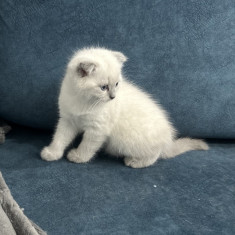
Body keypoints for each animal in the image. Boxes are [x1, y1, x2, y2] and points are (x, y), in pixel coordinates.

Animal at [40, 47, 207, 168]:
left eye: (116, 84)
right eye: (103, 87)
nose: (113, 97)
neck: (83, 101)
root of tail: (168, 140)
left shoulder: (97, 130)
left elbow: (87, 146)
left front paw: (78, 157)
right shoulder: (68, 120)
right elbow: (60, 138)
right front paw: (52, 153)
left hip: (129, 141)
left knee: (154, 156)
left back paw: (134, 162)